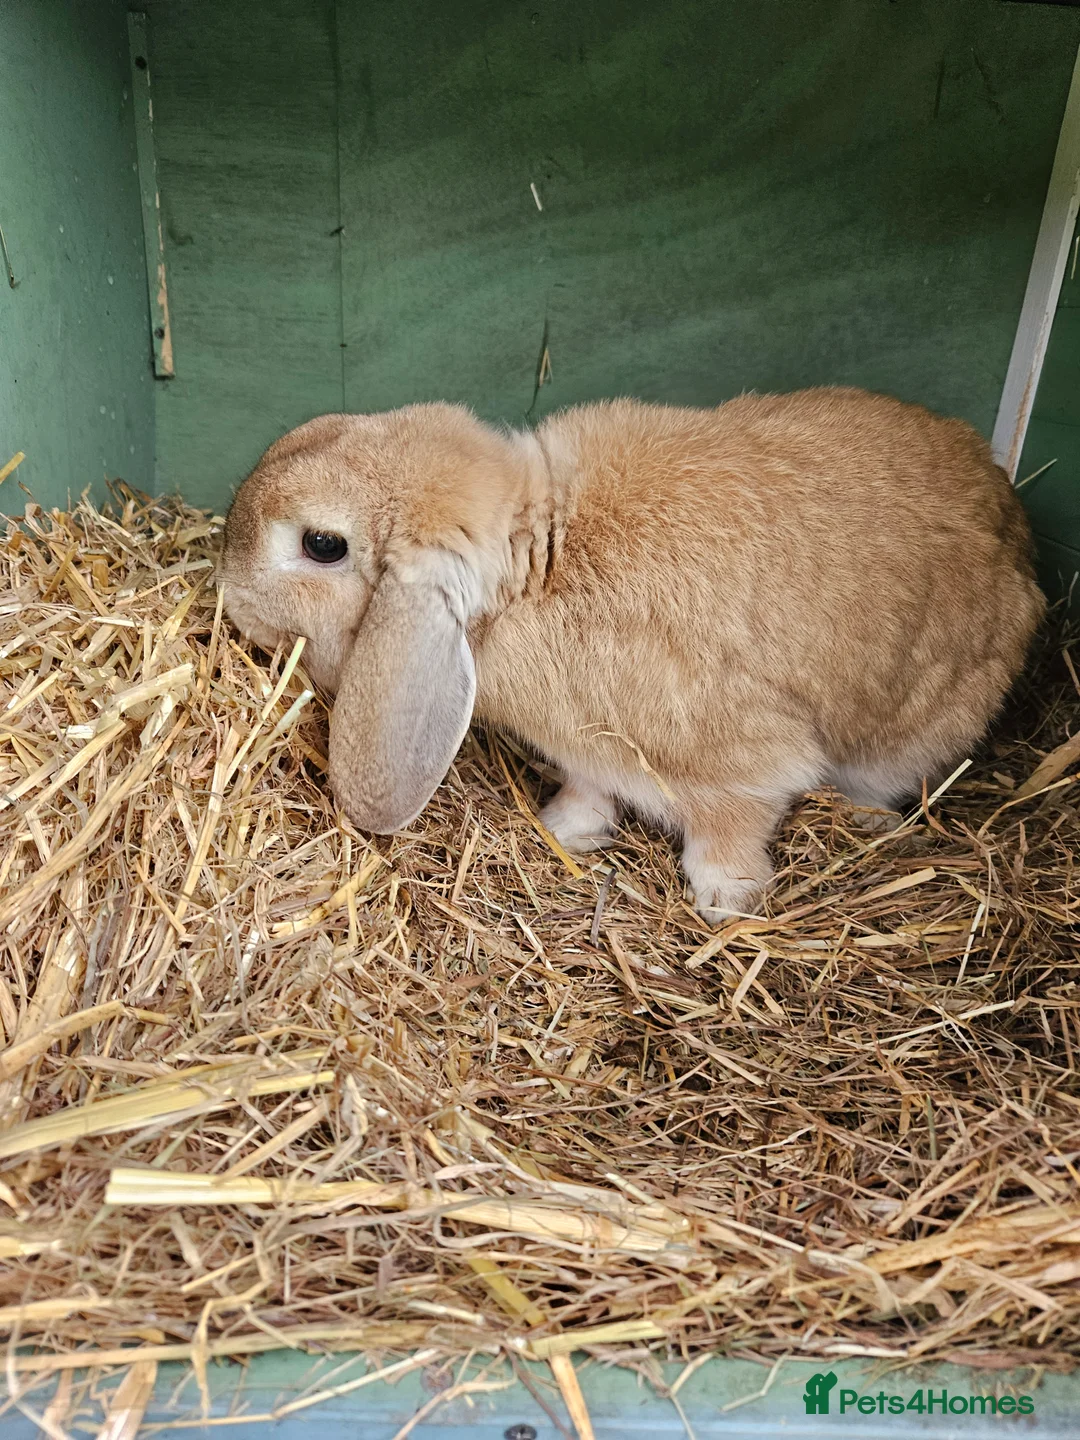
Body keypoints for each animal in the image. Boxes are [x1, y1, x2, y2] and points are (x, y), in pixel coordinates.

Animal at [218, 387, 1045, 922]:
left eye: (322, 545)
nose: (230, 600)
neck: (541, 559)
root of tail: (1022, 547)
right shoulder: (589, 749)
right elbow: (590, 787)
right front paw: (565, 830)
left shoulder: (742, 761)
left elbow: (732, 826)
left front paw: (725, 902)